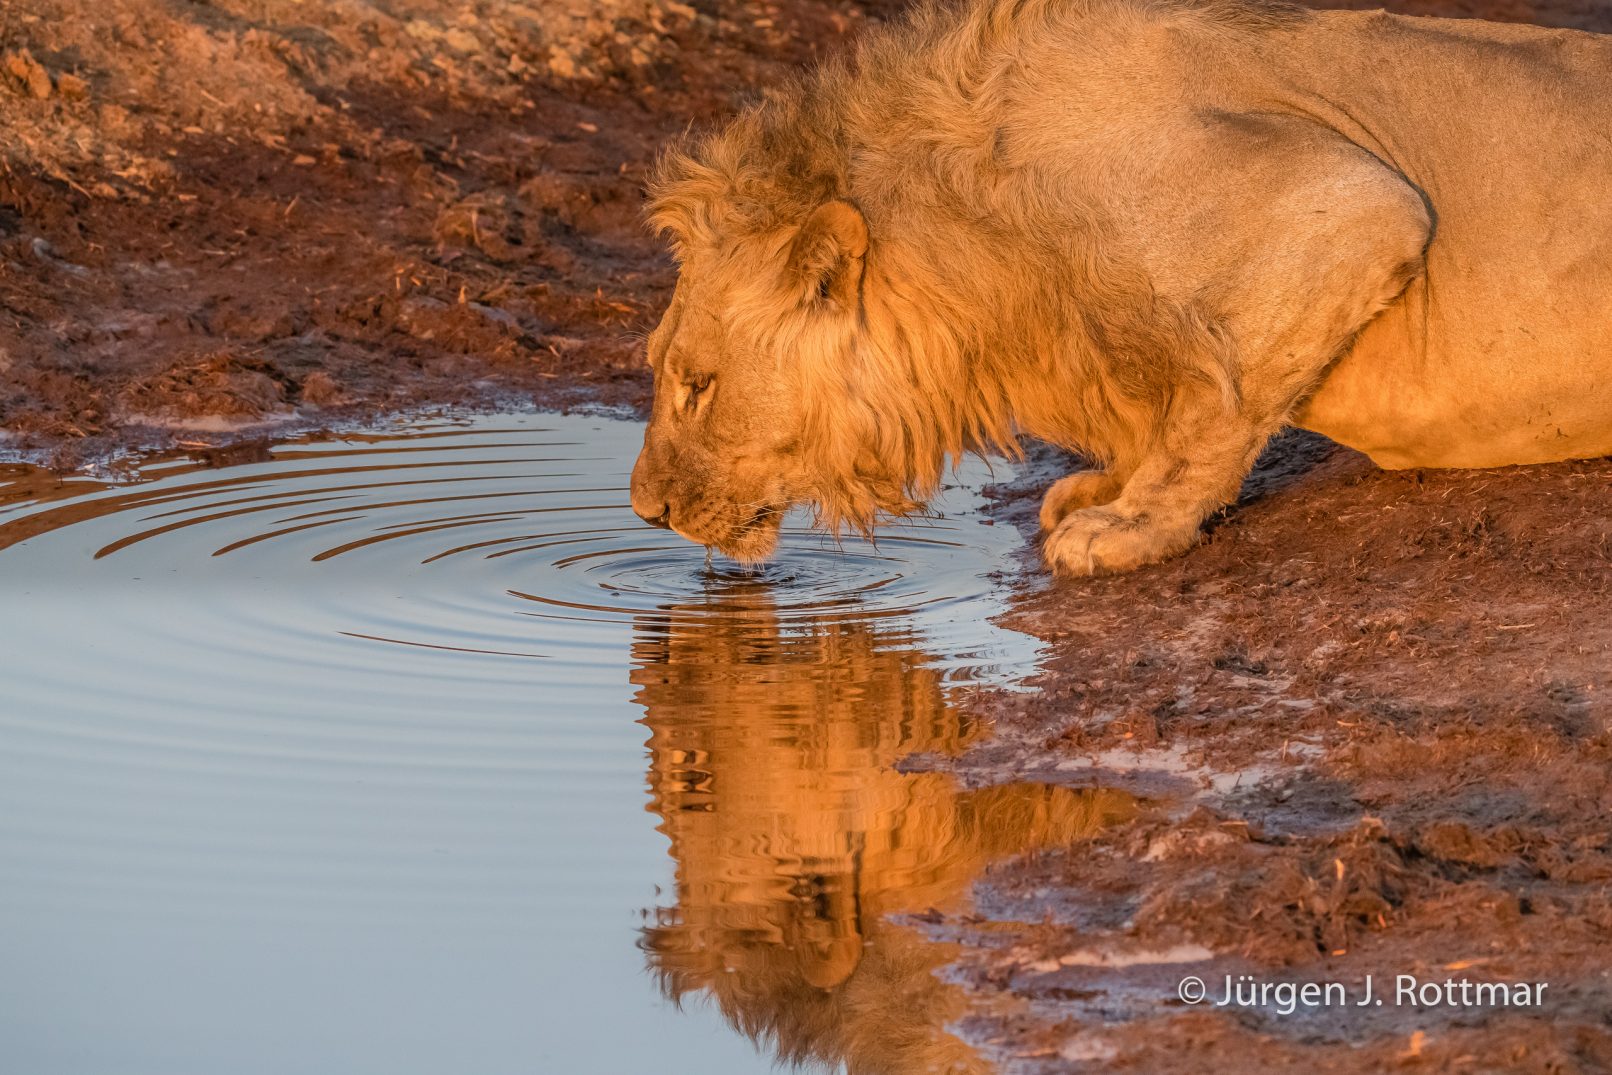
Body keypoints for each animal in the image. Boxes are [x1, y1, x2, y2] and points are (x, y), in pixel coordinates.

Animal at [627, 0, 1612, 575]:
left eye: (697, 385)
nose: (646, 511)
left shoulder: (1354, 208)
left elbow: (1215, 406)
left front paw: (1128, 526)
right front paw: (1102, 487)